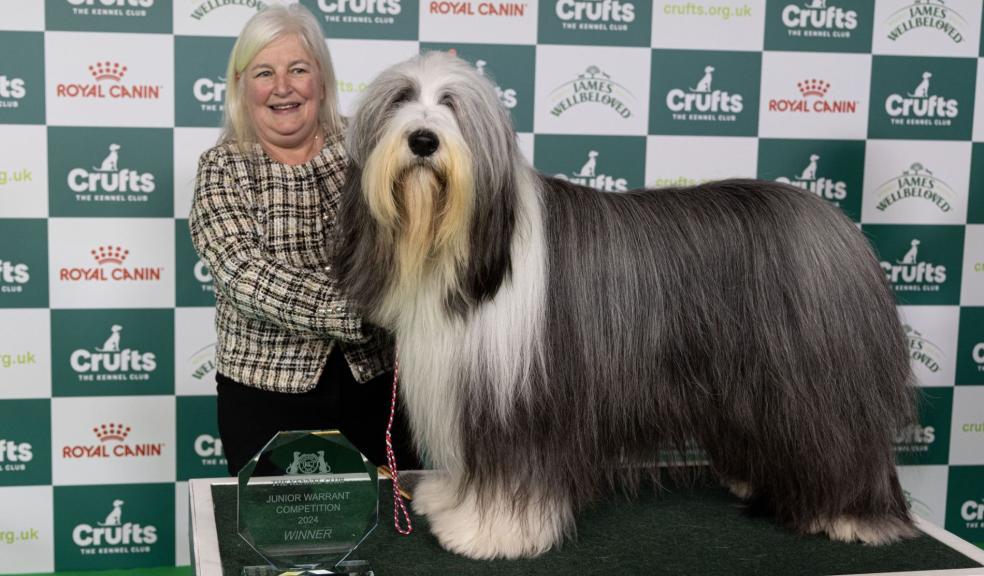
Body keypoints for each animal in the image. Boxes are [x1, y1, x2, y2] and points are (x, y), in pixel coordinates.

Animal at [334, 51, 920, 560]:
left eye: (452, 104)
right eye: (401, 99)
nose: (423, 139)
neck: (466, 246)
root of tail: (840, 225)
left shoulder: (517, 395)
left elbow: (512, 470)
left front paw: (489, 532)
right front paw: (449, 498)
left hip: (818, 383)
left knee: (845, 442)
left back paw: (852, 516)